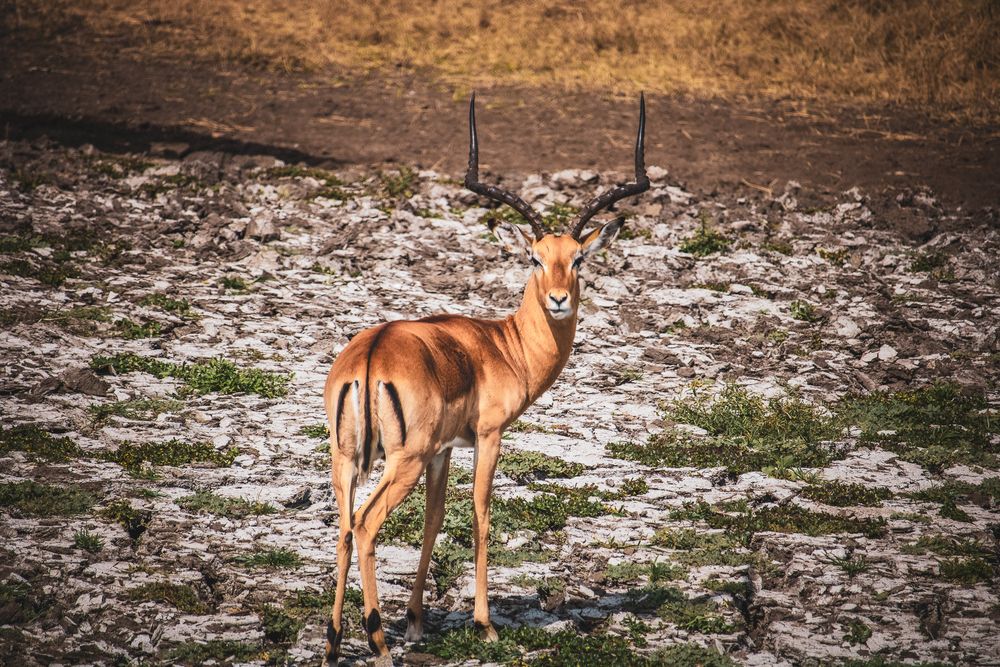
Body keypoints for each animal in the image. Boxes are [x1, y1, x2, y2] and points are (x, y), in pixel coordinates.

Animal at [322, 93, 649, 665]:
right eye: (534, 257)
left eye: (578, 259)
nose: (558, 300)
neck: (501, 345)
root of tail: (371, 355)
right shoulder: (489, 436)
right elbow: (479, 514)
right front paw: (484, 624)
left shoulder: (443, 450)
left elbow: (434, 518)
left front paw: (417, 622)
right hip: (399, 462)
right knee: (364, 524)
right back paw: (377, 641)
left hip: (348, 459)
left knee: (343, 527)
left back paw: (335, 643)